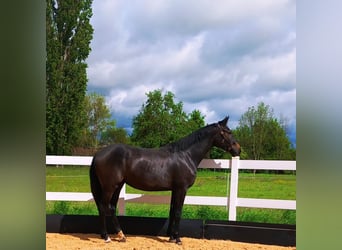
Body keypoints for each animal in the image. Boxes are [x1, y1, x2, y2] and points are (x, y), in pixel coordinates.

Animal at [89, 116, 242, 244]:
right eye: (228, 132)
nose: (238, 149)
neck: (185, 155)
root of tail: (98, 153)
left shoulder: (175, 189)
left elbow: (173, 211)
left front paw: (171, 237)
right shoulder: (182, 188)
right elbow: (178, 212)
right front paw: (178, 239)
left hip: (118, 185)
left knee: (111, 207)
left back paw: (121, 236)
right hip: (110, 186)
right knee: (103, 206)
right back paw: (106, 237)